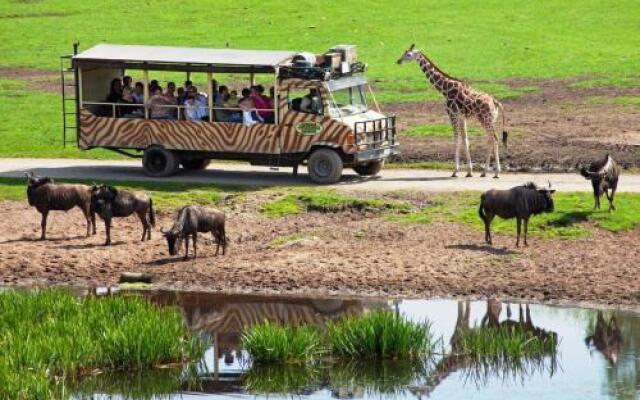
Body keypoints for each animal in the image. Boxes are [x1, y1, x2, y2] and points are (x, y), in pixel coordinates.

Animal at [396, 43, 510, 178]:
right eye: (404, 52)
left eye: (408, 54)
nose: (398, 61)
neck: (445, 89)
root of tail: (495, 101)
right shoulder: (461, 117)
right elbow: (465, 140)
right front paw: (469, 171)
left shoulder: (452, 114)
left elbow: (456, 139)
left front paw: (455, 171)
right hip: (491, 120)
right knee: (491, 139)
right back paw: (484, 172)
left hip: (485, 119)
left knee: (494, 138)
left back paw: (496, 172)